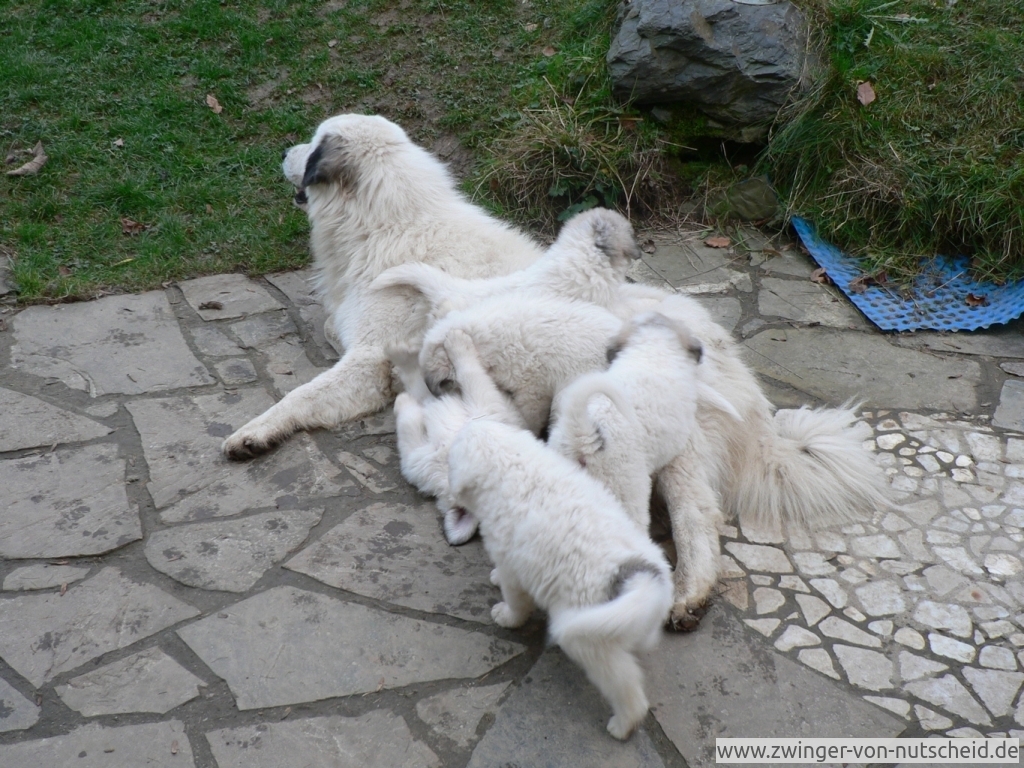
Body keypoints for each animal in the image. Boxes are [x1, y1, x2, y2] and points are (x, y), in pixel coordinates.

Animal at [221, 114, 544, 459]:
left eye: (313, 145)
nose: (283, 152)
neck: (385, 226)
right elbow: (332, 326)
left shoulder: (367, 358)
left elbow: (302, 393)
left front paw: (256, 430)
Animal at [389, 328, 526, 545]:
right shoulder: (420, 458)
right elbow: (422, 393)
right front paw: (401, 355)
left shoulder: (485, 403)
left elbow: (468, 372)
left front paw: (457, 341)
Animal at [448, 419, 673, 740]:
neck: (512, 462)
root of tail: (641, 574)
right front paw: (494, 578)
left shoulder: (513, 561)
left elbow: (516, 599)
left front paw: (505, 615)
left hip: (591, 636)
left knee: (624, 683)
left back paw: (623, 725)